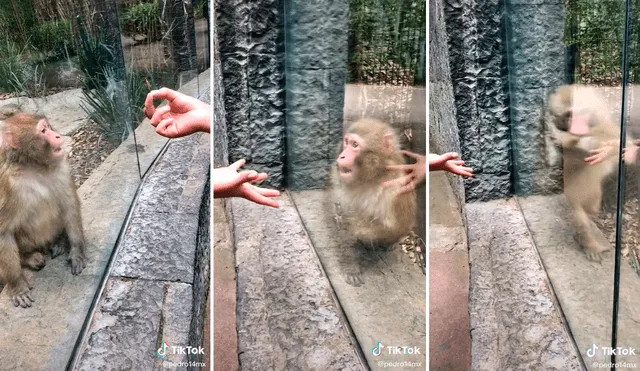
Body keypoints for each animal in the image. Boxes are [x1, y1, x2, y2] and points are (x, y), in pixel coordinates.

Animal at [0, 112, 85, 308]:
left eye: (47, 127)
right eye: (43, 131)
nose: (58, 136)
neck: (33, 167)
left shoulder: (61, 167)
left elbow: (69, 205)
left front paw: (76, 250)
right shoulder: (6, 185)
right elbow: (3, 231)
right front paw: (17, 285)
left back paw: (58, 242)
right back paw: (28, 257)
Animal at [330, 119, 420, 288]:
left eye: (355, 145)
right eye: (347, 142)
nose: (342, 156)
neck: (374, 176)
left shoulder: (394, 188)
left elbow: (393, 226)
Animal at [544, 85, 636, 264]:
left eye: (576, 115)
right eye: (566, 115)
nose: (575, 127)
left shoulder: (605, 125)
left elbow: (626, 146)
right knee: (581, 216)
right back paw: (586, 242)